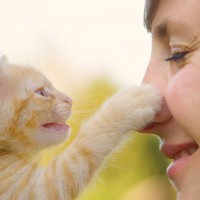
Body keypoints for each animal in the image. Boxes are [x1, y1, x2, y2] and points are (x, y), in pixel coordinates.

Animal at [0, 58, 161, 200]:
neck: (5, 151)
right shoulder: (37, 190)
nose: (69, 99)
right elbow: (85, 146)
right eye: (40, 93)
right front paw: (130, 102)